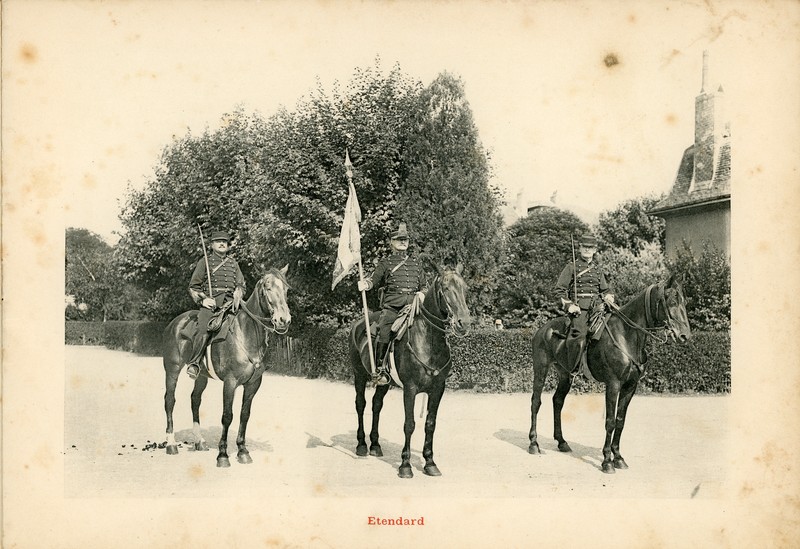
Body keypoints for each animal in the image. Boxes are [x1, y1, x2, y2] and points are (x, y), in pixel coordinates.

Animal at [161, 266, 290, 466]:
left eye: (286, 289)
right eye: (267, 288)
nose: (284, 320)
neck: (246, 334)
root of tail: (175, 322)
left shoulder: (253, 384)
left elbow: (245, 415)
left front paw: (243, 451)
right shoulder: (230, 382)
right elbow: (227, 416)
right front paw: (223, 455)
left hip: (201, 376)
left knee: (195, 400)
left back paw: (199, 441)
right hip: (172, 369)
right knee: (169, 400)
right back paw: (171, 444)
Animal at [348, 264, 468, 476]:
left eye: (465, 288)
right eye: (446, 289)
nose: (465, 323)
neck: (429, 341)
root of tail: (358, 323)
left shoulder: (438, 389)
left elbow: (430, 424)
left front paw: (430, 463)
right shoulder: (410, 389)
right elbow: (409, 424)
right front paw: (405, 465)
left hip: (384, 383)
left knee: (376, 405)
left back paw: (375, 445)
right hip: (359, 375)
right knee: (361, 404)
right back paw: (362, 444)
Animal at [528, 276, 692, 474]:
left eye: (684, 301)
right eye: (672, 301)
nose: (685, 335)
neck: (627, 335)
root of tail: (544, 329)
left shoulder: (630, 386)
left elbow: (620, 421)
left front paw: (619, 458)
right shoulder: (613, 384)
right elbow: (610, 421)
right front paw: (607, 461)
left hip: (565, 375)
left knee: (557, 401)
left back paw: (562, 442)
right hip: (541, 369)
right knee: (536, 402)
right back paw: (534, 443)